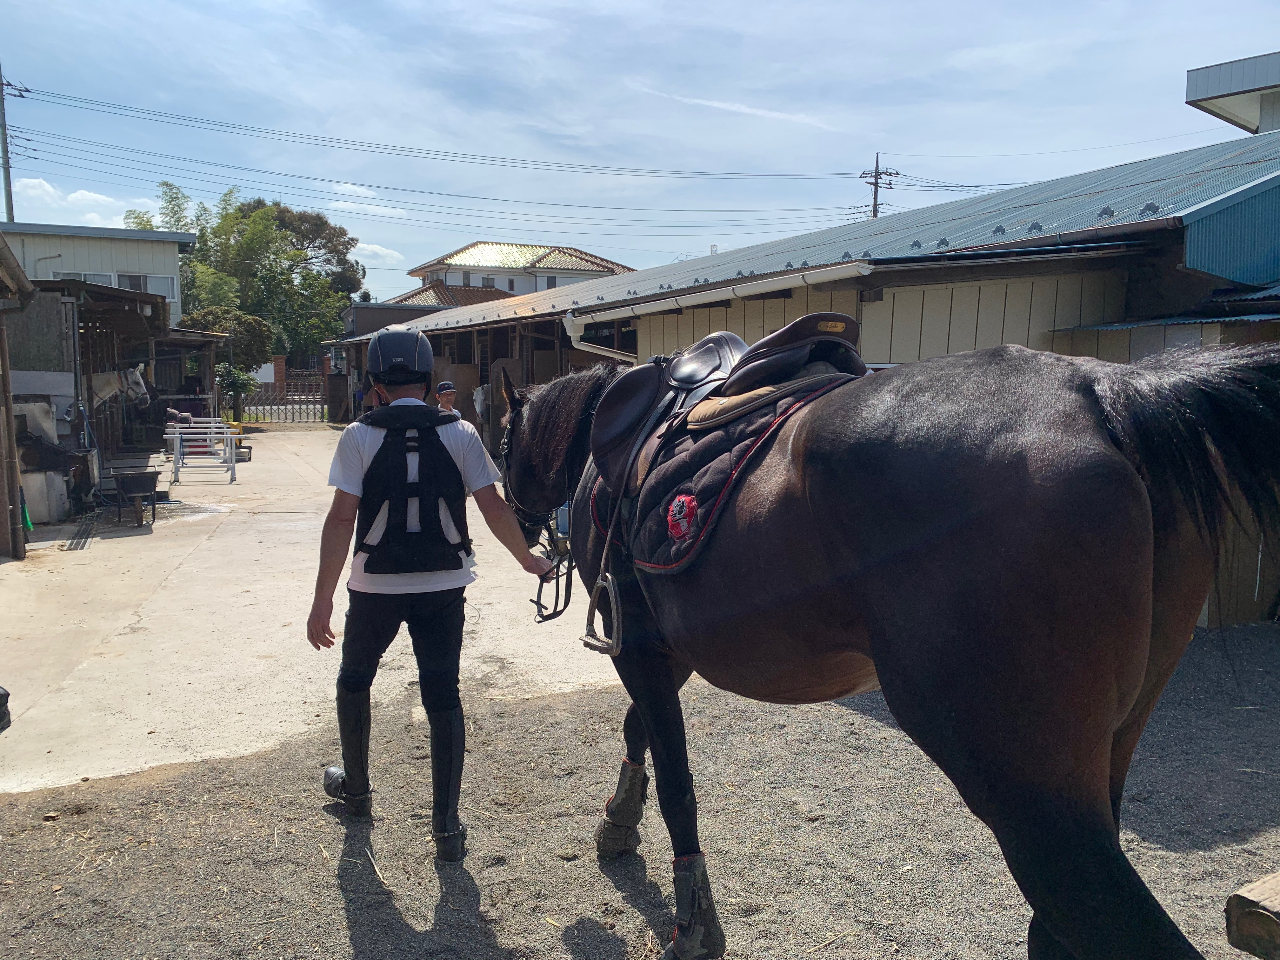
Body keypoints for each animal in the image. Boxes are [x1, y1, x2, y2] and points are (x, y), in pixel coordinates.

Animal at [498, 339, 1280, 960]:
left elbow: (676, 780)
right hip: (1110, 748)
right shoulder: (665, 651)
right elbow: (640, 733)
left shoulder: (641, 649)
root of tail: (1101, 395)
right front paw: (617, 822)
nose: (522, 522)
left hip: (1026, 790)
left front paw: (693, 922)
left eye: (503, 442)